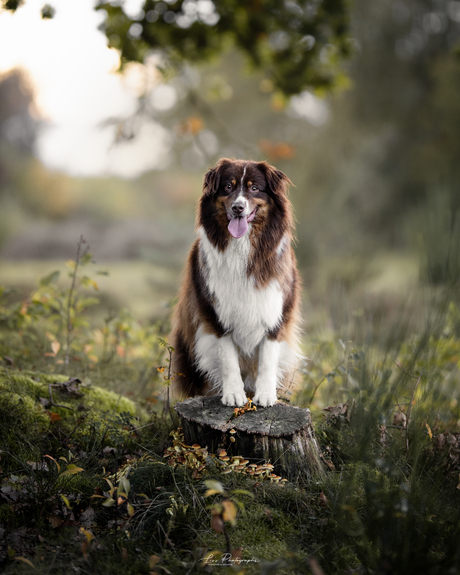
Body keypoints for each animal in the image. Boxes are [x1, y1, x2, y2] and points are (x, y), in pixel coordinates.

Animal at [169, 158, 302, 408]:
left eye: (254, 188)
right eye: (228, 187)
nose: (238, 208)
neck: (242, 246)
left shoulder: (276, 308)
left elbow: (268, 358)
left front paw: (266, 394)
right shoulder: (215, 313)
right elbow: (228, 359)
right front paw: (233, 394)